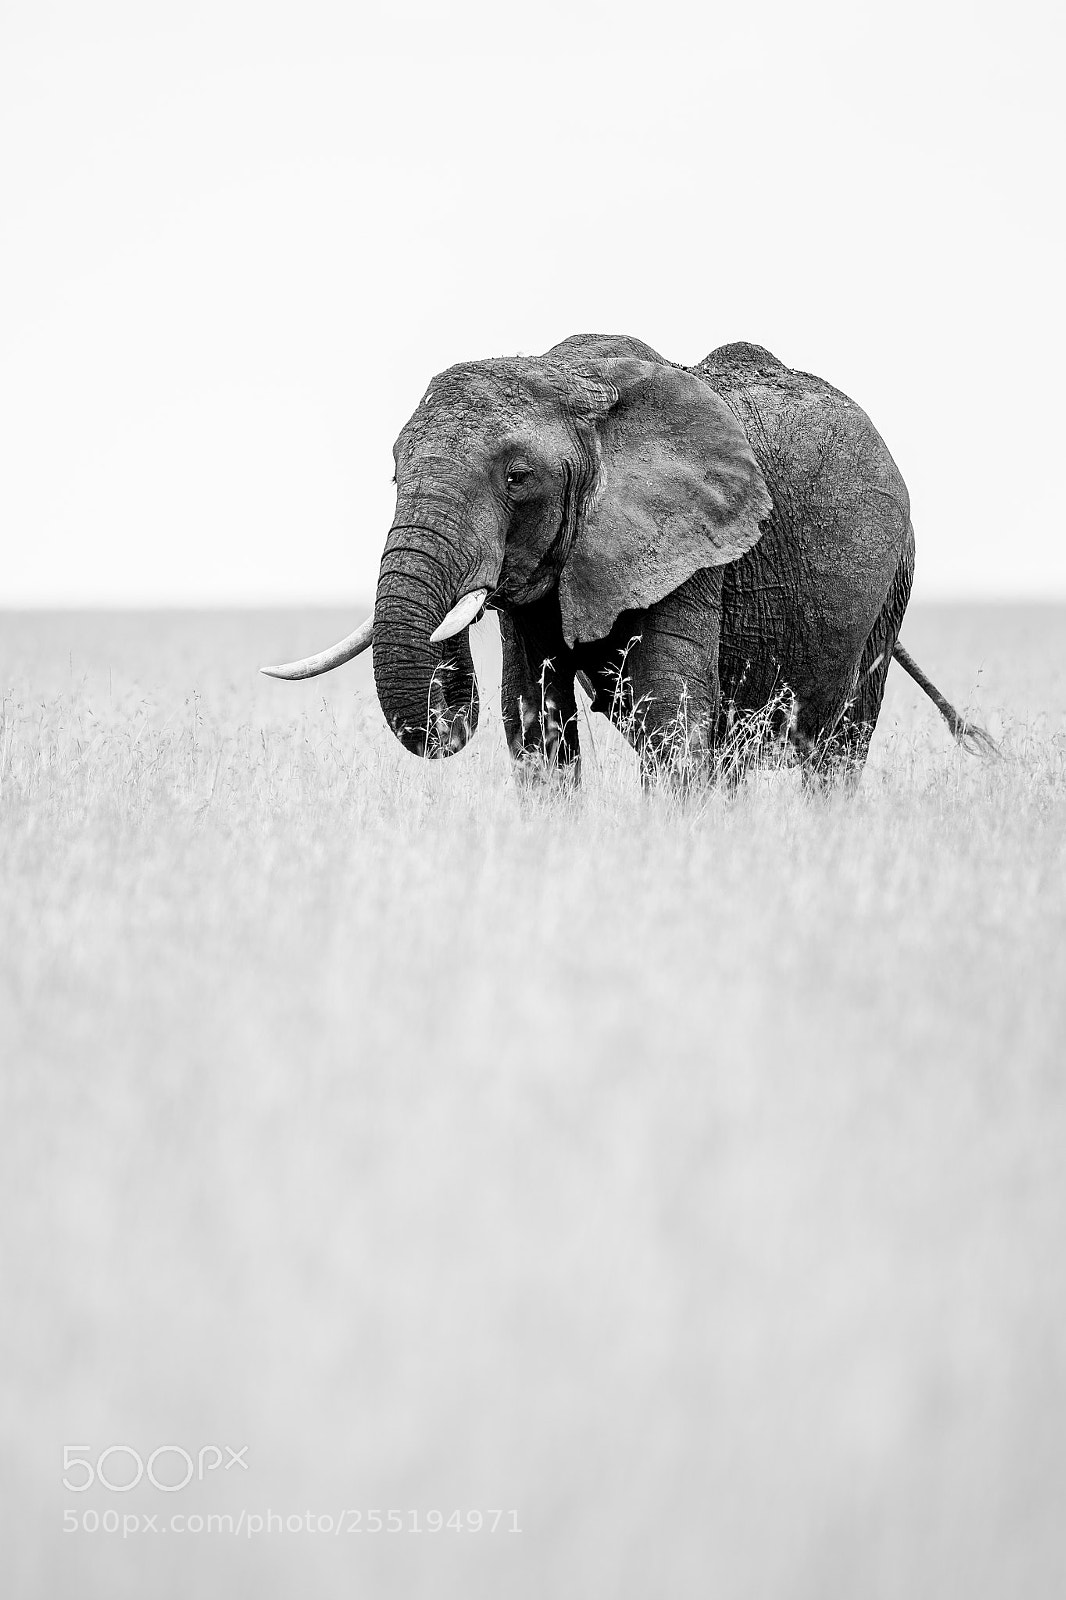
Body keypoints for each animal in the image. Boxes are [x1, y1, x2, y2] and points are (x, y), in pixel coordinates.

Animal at [261, 333, 996, 783]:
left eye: (518, 479)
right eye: (393, 476)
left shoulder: (695, 553)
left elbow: (670, 717)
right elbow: (533, 723)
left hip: (892, 578)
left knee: (837, 753)